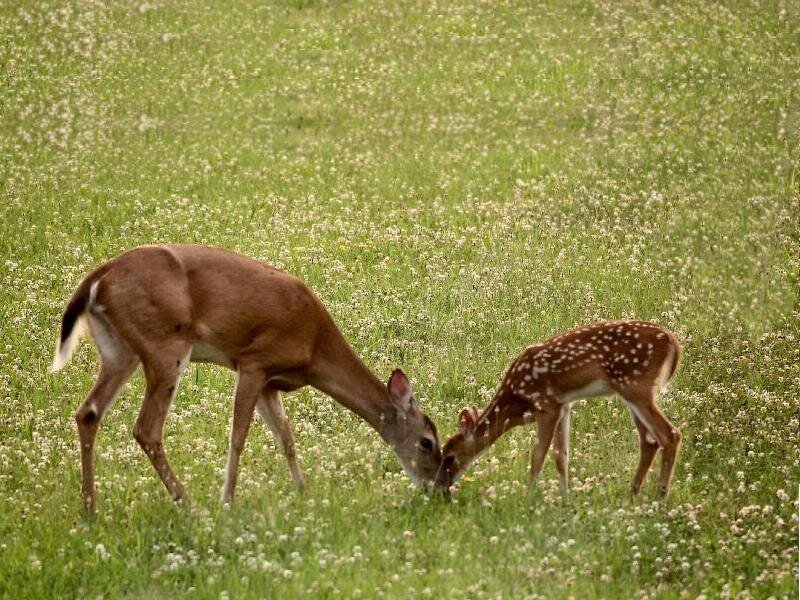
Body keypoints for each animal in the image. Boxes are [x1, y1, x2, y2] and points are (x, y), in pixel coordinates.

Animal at [50, 244, 442, 512]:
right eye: (427, 441)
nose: (439, 486)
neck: (315, 346)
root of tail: (96, 279)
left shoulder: (270, 382)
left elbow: (286, 438)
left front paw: (303, 493)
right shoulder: (253, 362)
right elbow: (238, 437)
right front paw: (227, 501)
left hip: (118, 350)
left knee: (88, 412)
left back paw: (90, 509)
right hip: (164, 345)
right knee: (147, 428)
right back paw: (188, 503)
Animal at [435, 320, 682, 498]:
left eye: (449, 456)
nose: (439, 486)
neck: (516, 401)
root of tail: (674, 343)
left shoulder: (546, 405)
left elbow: (538, 455)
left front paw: (529, 497)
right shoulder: (564, 406)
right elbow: (561, 456)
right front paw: (565, 499)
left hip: (636, 387)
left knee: (670, 434)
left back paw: (660, 498)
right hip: (633, 392)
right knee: (649, 441)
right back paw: (632, 494)